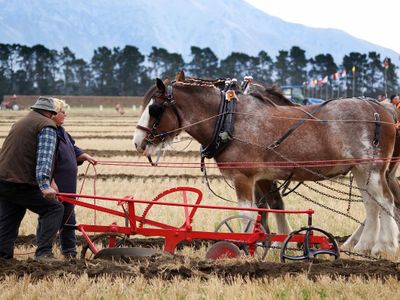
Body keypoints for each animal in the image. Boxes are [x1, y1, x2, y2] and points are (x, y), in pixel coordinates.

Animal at [135, 71, 400, 255]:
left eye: (154, 109)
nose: (138, 142)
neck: (229, 119)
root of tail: (382, 109)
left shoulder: (243, 176)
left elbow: (248, 213)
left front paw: (244, 247)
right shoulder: (261, 177)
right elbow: (268, 210)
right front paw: (275, 242)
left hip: (372, 168)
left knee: (385, 201)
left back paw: (384, 246)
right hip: (361, 170)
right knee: (372, 205)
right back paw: (363, 246)